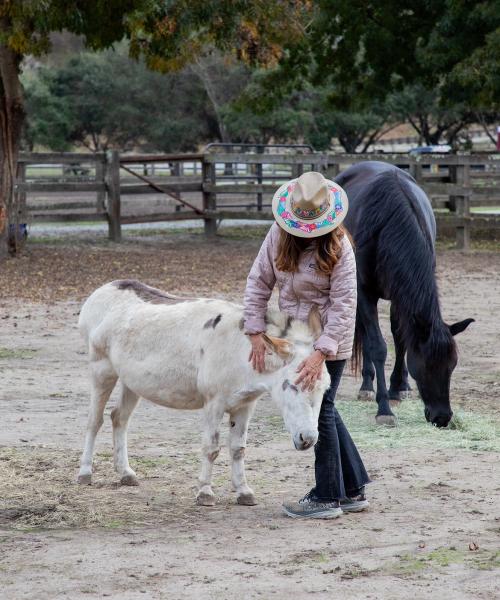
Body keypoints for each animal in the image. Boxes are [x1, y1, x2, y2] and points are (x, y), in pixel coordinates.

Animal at [336, 162, 472, 428]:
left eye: (452, 365)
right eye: (426, 366)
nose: (442, 417)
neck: (388, 222)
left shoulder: (400, 294)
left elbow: (400, 340)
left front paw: (397, 388)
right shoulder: (364, 292)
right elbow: (377, 346)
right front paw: (384, 408)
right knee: (366, 336)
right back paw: (366, 385)